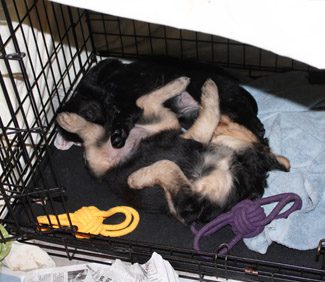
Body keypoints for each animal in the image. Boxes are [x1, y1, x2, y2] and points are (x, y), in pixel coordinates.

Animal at [56, 76, 288, 225]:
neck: (237, 160)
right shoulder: (193, 138)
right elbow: (209, 117)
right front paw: (210, 93)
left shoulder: (189, 204)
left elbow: (169, 165)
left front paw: (136, 178)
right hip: (168, 123)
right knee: (143, 101)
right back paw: (182, 82)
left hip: (163, 123)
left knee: (97, 129)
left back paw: (67, 120)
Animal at [58, 58, 264, 149]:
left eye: (88, 114)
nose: (107, 132)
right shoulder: (131, 108)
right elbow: (126, 117)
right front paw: (118, 135)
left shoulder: (125, 96)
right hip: (192, 115)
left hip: (220, 92)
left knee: (245, 111)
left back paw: (257, 127)